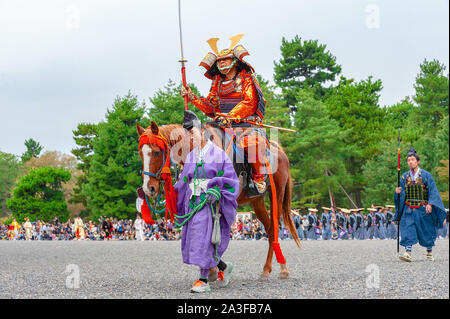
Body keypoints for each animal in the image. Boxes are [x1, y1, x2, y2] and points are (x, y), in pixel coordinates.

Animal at [135, 120, 300, 280]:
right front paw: (212, 269)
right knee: (270, 229)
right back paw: (269, 269)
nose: (148, 188)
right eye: (141, 154)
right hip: (257, 201)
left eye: (157, 152)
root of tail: (280, 151)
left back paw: (278, 269)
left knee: (275, 228)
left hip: (277, 195)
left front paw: (214, 268)